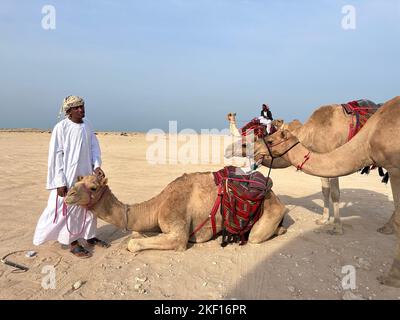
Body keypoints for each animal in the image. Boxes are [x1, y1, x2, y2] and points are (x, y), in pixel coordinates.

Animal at [64, 168, 286, 255]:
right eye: (78, 181)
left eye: (93, 187)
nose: (68, 194)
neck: (158, 205)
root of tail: (272, 193)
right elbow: (136, 233)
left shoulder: (177, 229)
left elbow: (133, 243)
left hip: (270, 212)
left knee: (257, 235)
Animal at [248, 95, 400, 288]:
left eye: (270, 140)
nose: (255, 149)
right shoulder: (321, 155)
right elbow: (324, 191)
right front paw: (323, 219)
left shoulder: (334, 153)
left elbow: (335, 193)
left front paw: (337, 227)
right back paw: (386, 228)